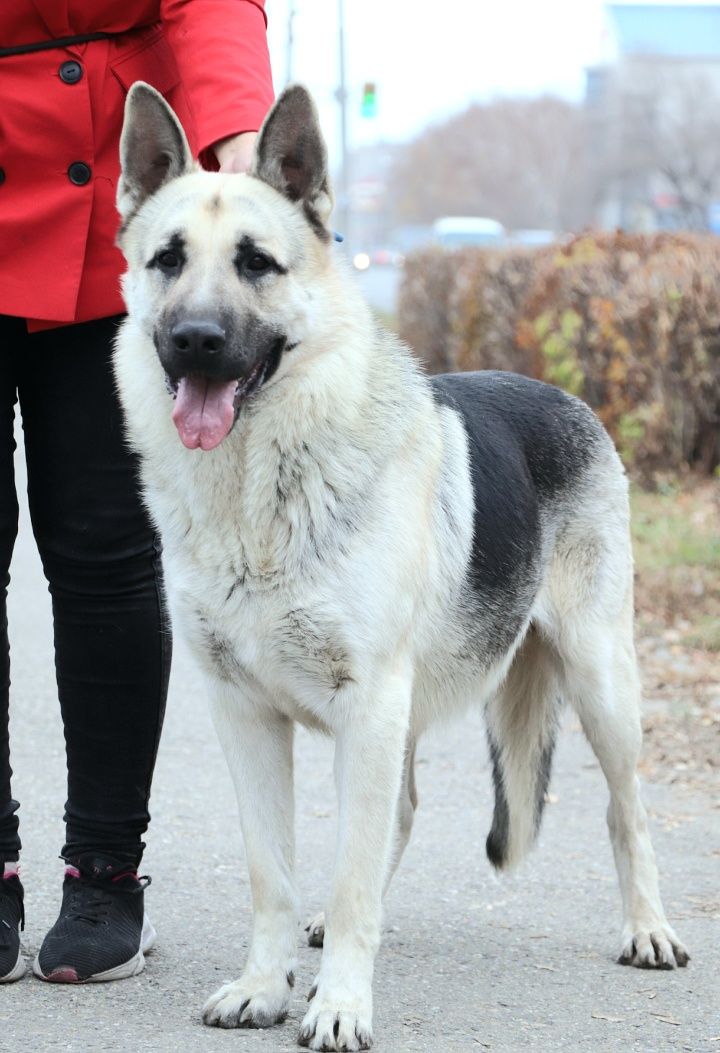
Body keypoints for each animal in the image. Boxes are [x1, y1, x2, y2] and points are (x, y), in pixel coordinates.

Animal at [115, 84, 690, 1053]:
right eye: (167, 260)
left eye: (256, 263)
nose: (194, 339)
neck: (261, 496)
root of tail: (557, 390)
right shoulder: (245, 714)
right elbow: (274, 874)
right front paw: (267, 984)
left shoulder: (369, 702)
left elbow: (350, 875)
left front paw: (342, 1002)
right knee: (404, 809)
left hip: (600, 681)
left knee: (627, 810)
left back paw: (647, 925)